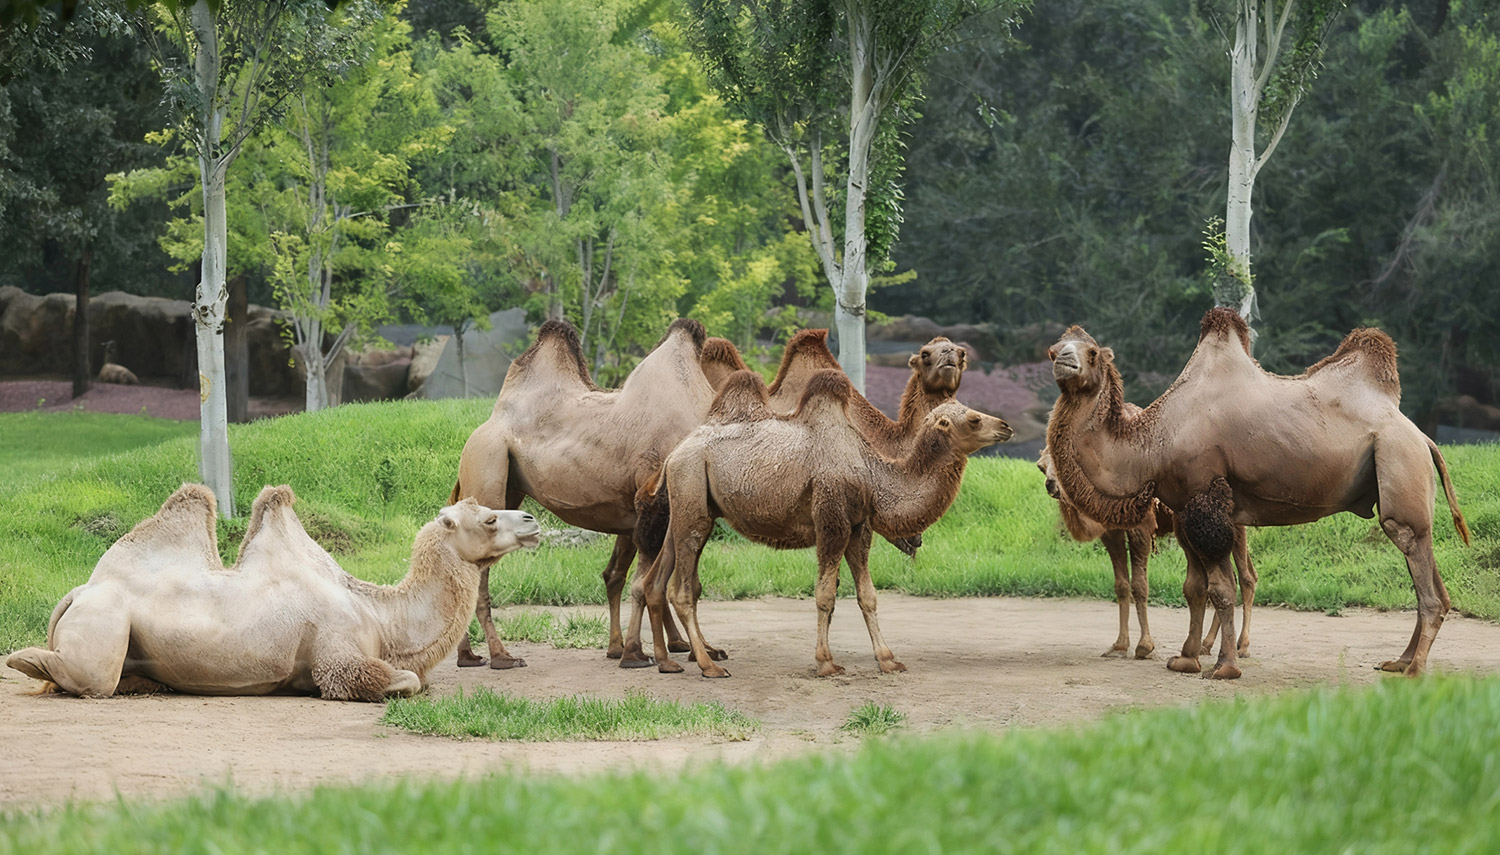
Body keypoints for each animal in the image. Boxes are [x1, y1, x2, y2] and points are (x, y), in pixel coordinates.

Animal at [5, 484, 539, 699]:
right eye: (488, 519)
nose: (532, 520)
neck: (382, 614)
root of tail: (82, 588)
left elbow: (418, 680)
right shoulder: (339, 658)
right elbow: (404, 681)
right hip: (105, 616)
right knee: (87, 676)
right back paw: (23, 660)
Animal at [450, 318, 746, 669]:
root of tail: (485, 426)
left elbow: (664, 579)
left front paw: (696, 649)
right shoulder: (652, 501)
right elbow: (646, 581)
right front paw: (638, 653)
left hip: (507, 487)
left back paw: (468, 655)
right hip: (487, 462)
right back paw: (500, 656)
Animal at [623, 369, 1013, 677]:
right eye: (973, 419)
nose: (1005, 426)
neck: (871, 474)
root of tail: (675, 453)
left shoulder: (858, 527)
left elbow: (868, 595)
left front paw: (888, 660)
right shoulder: (831, 519)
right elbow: (825, 595)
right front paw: (825, 663)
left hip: (688, 504)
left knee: (658, 579)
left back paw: (669, 661)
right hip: (692, 495)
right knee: (681, 589)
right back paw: (707, 666)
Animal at [1038, 444, 1257, 659]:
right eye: (1042, 466)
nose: (1050, 484)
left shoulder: (1141, 527)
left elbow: (1139, 585)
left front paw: (1144, 646)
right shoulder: (1111, 532)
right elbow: (1121, 585)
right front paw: (1119, 646)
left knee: (1246, 577)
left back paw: (1243, 646)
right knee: (1235, 576)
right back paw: (1206, 645)